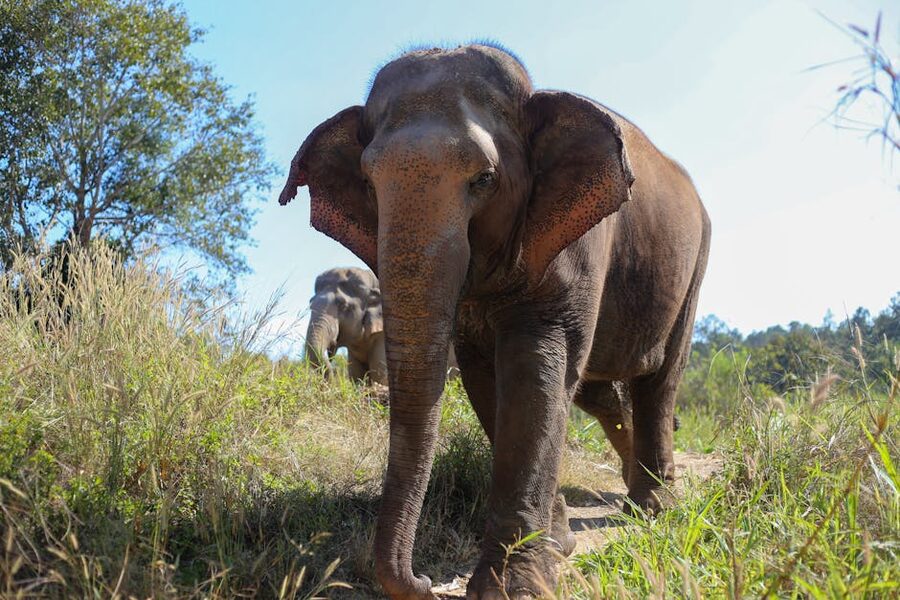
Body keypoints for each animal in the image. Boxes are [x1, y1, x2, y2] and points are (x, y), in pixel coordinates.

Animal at [279, 44, 710, 599]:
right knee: (602, 393)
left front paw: (513, 586)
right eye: (370, 184)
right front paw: (558, 547)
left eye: (484, 179)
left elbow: (534, 371)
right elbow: (487, 381)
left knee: (659, 380)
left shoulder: (577, 242)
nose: (423, 580)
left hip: (695, 263)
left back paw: (652, 509)